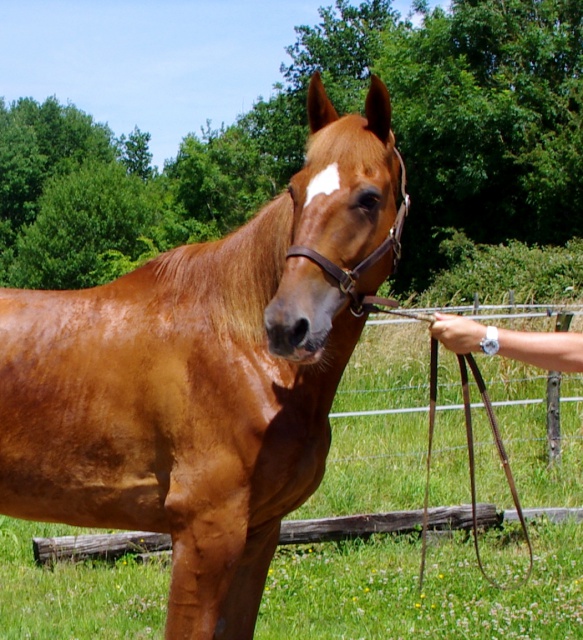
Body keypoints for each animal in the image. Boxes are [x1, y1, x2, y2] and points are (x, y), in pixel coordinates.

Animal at [0, 74, 406, 636]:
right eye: (295, 191)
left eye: (370, 197)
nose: (287, 325)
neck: (242, 349)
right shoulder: (206, 533)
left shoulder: (260, 531)